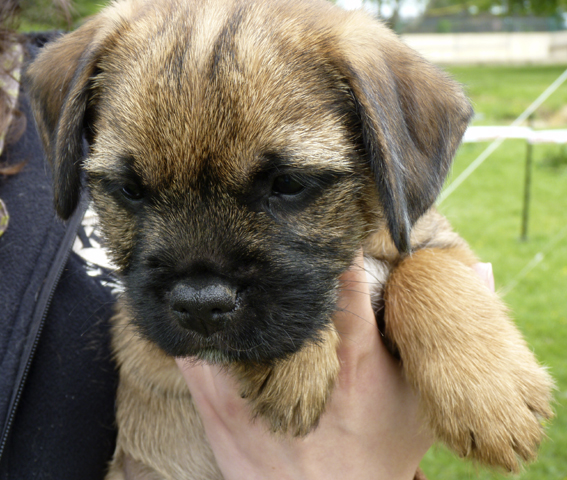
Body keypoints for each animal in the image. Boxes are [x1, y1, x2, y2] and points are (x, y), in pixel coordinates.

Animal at [27, 0, 556, 478]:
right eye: (129, 190)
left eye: (288, 184)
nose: (200, 304)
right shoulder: (146, 336)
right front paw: (294, 366)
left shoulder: (429, 236)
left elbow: (426, 267)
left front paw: (490, 395)